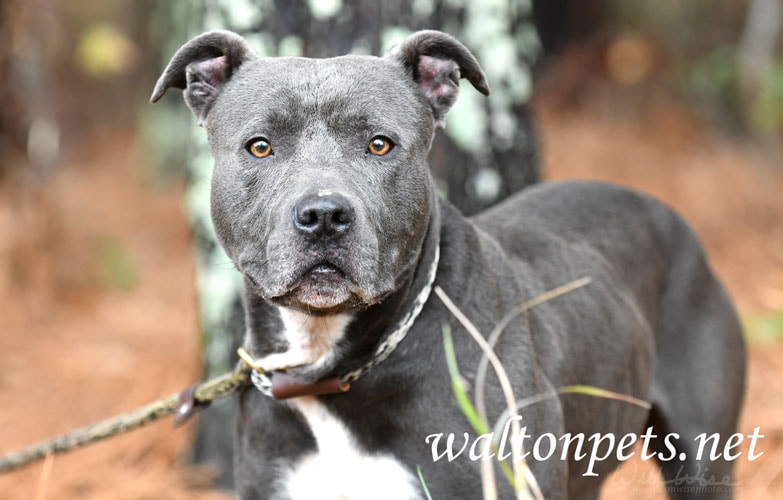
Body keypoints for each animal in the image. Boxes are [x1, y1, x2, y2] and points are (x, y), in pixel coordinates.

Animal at [152, 29, 748, 498]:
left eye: (380, 144)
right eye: (259, 146)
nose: (323, 215)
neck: (332, 367)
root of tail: (666, 213)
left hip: (702, 457)